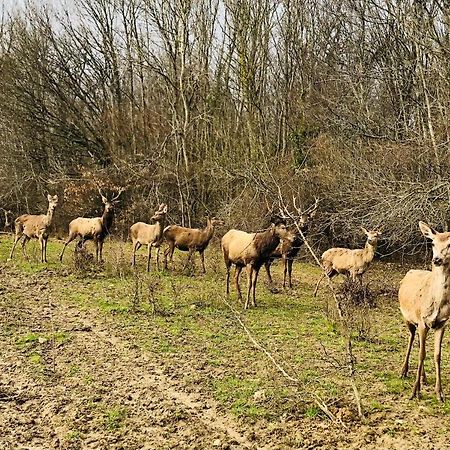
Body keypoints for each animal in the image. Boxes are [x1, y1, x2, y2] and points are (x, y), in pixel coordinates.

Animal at [400, 221, 450, 400]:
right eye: (433, 243)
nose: (437, 260)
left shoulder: (442, 323)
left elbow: (437, 355)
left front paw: (440, 393)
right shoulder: (422, 320)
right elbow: (422, 354)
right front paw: (415, 392)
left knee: (421, 345)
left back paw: (423, 378)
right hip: (408, 318)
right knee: (411, 338)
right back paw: (404, 371)